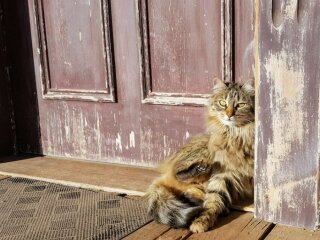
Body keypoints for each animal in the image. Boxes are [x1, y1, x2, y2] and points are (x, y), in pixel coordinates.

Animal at [145, 78, 255, 232]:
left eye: (240, 105)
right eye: (223, 103)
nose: (229, 115)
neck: (237, 135)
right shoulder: (224, 173)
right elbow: (213, 200)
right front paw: (202, 221)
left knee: (189, 192)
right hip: (204, 152)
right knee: (179, 175)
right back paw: (199, 170)